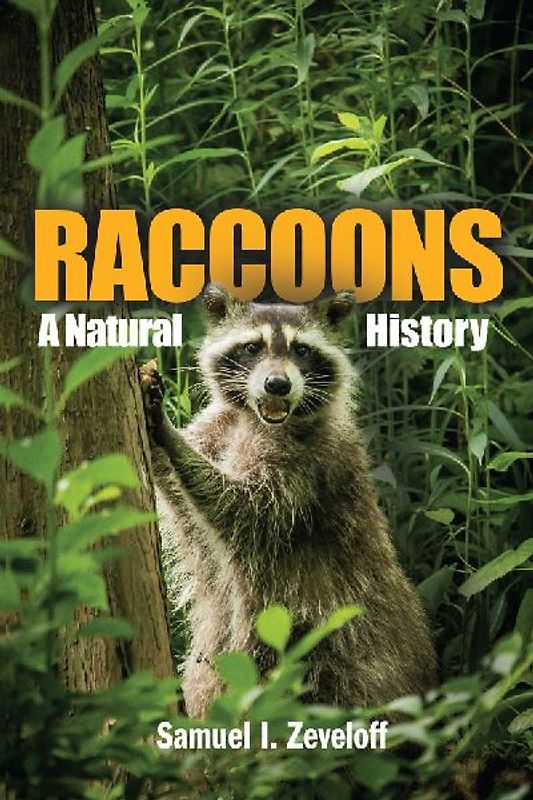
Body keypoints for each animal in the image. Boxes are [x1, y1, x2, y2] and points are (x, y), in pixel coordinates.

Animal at [140, 286, 437, 719]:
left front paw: (169, 436)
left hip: (338, 647)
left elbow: (243, 508)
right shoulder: (219, 428)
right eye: (253, 347)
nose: (277, 385)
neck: (254, 418)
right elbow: (184, 505)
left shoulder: (309, 465)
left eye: (302, 350)